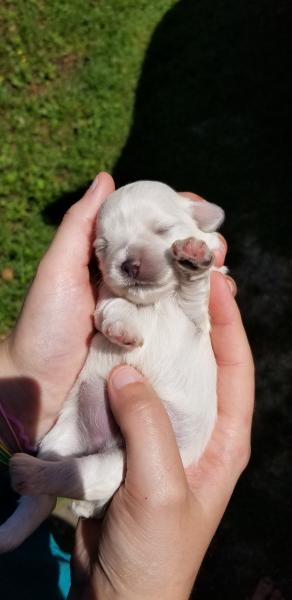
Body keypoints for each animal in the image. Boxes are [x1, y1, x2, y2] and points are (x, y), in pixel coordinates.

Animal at [0, 180, 226, 552]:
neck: (155, 303)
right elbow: (114, 307)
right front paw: (122, 330)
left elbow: (196, 291)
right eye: (103, 247)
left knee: (79, 480)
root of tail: (100, 444)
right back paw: (29, 474)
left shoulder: (198, 319)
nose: (130, 264)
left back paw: (48, 485)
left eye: (163, 229)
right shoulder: (105, 299)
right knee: (63, 481)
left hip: (120, 466)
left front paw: (194, 258)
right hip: (65, 440)